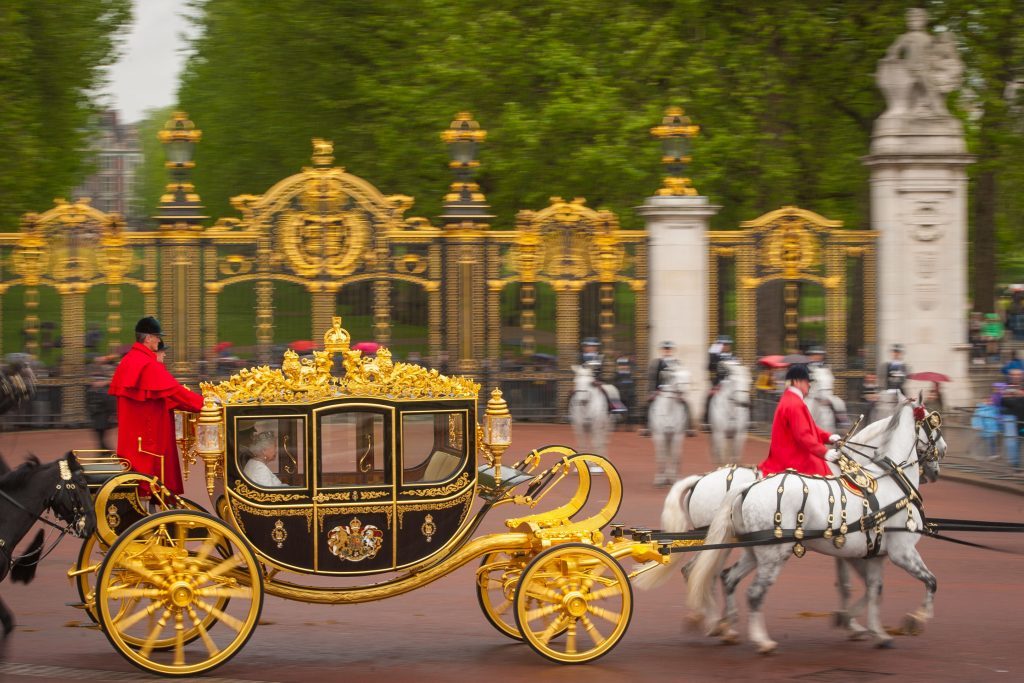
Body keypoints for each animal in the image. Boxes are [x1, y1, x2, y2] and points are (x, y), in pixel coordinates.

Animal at [688, 397, 942, 655]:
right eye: (934, 425)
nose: (937, 465)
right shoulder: (900, 551)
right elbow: (926, 582)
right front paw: (911, 620)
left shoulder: (868, 552)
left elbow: (872, 589)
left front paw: (865, 628)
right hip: (763, 552)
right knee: (731, 584)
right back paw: (742, 633)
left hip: (749, 549)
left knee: (723, 577)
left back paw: (723, 625)